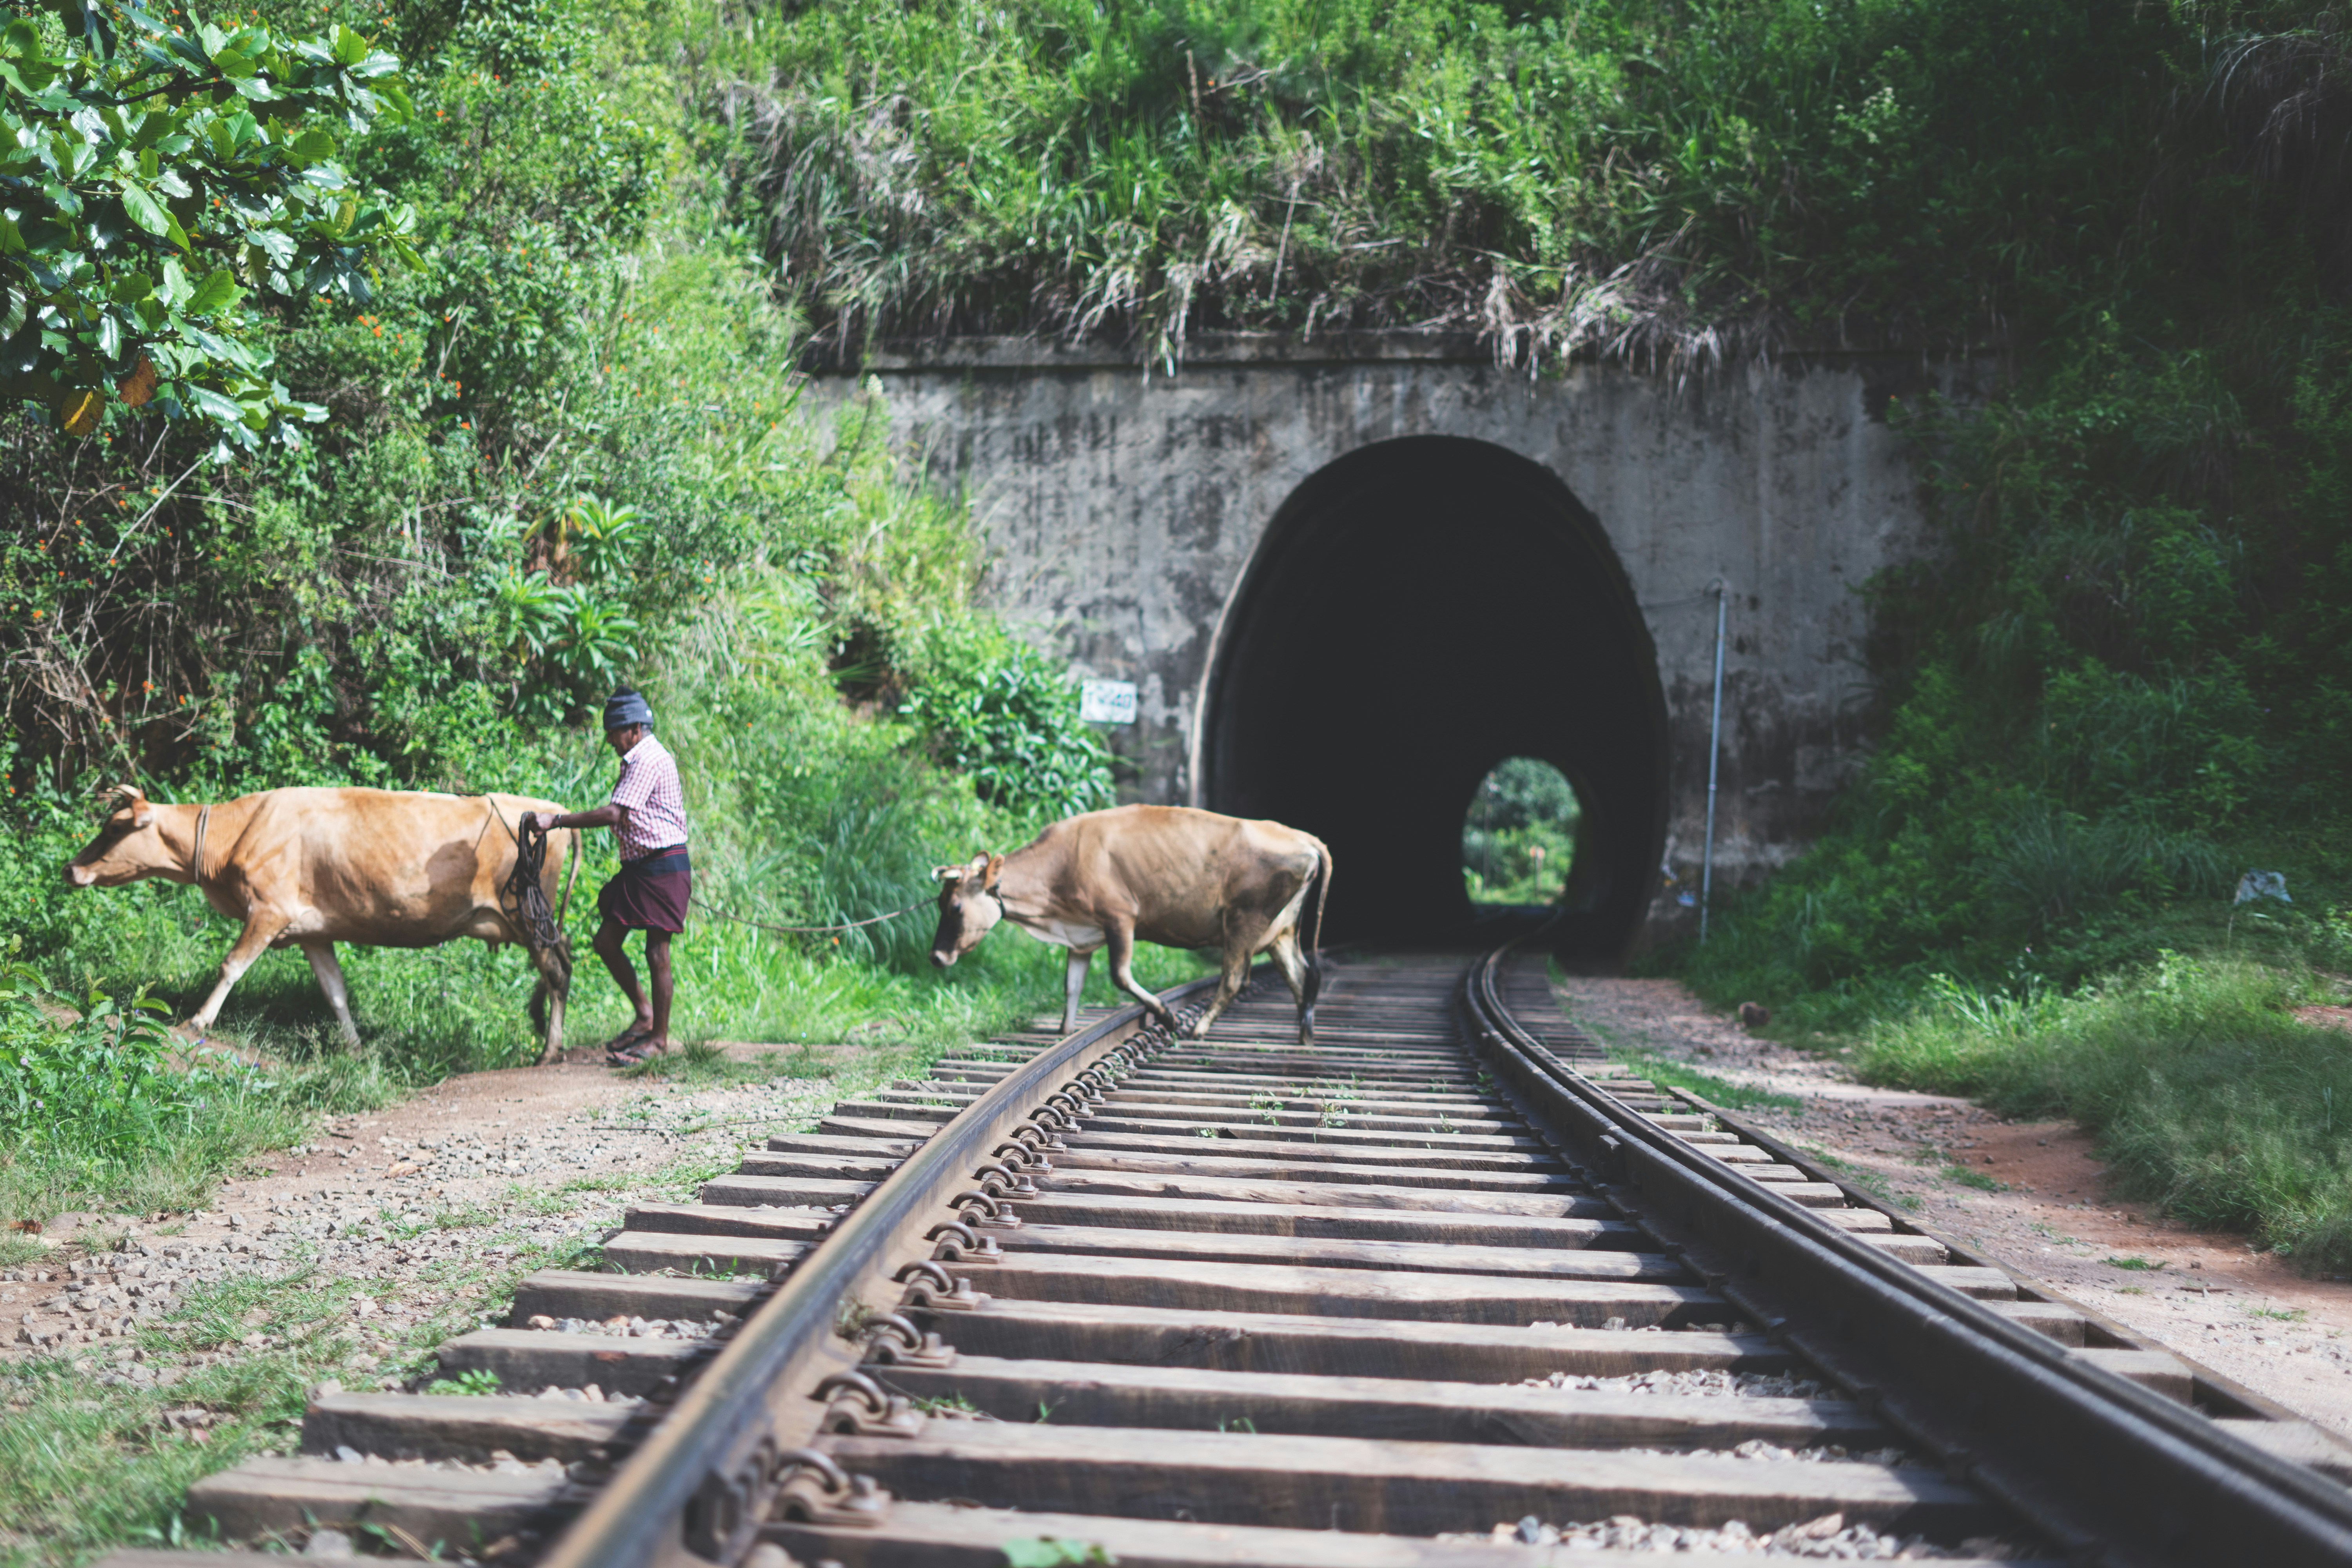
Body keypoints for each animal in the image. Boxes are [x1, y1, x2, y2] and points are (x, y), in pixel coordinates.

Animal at [63, 785, 581, 1061]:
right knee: (565, 962)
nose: (70, 869)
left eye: (114, 827)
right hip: (536, 920)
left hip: (528, 914)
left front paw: (199, 1019)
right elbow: (335, 993)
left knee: (557, 973)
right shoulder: (313, 931)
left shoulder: (268, 909)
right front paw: (354, 1047)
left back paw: (549, 1051)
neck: (241, 832)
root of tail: (547, 810)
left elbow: (231, 965)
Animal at [929, 804, 1333, 1046]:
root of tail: (1300, 836)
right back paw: (1305, 1037)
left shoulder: (1120, 917)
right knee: (1300, 975)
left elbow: (1120, 976)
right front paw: (1065, 1032)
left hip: (1245, 918)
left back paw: (1199, 1028)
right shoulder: (1081, 935)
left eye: (956, 907)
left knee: (1235, 978)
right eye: (939, 903)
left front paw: (1166, 1016)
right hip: (1281, 931)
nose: (936, 957)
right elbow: (1072, 986)